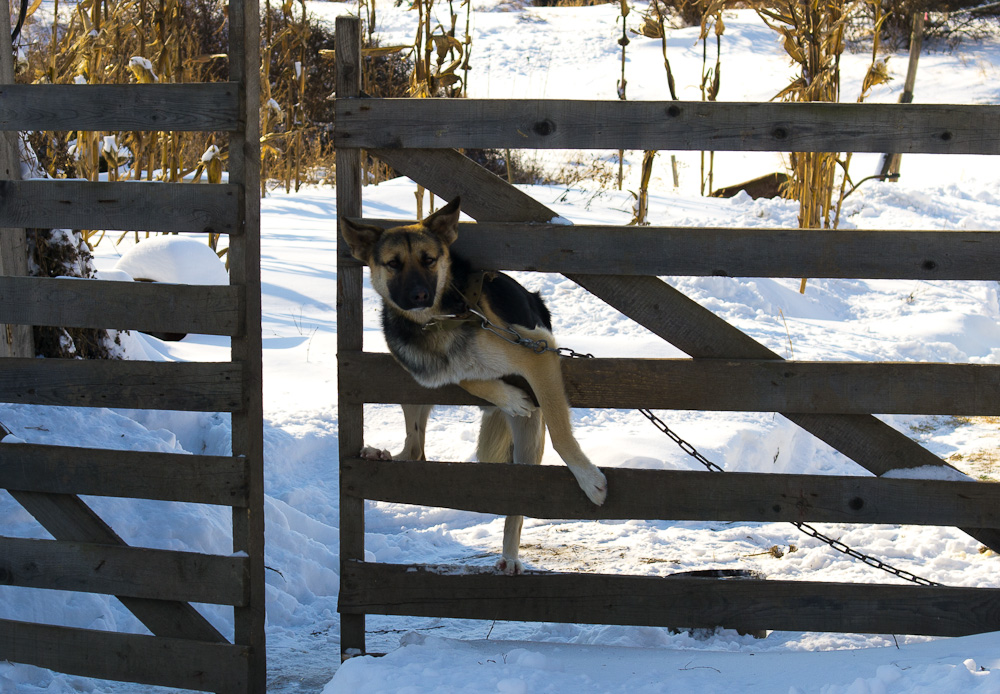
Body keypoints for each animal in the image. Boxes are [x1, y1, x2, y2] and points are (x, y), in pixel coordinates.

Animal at [344, 197, 604, 576]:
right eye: (393, 264)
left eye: (429, 259)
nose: (419, 295)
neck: (435, 322)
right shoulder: (427, 369)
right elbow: (462, 374)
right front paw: (508, 396)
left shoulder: (538, 352)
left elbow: (560, 432)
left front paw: (587, 477)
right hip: (412, 391)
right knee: (416, 449)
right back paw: (380, 454)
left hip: (527, 437)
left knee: (521, 492)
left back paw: (510, 555)